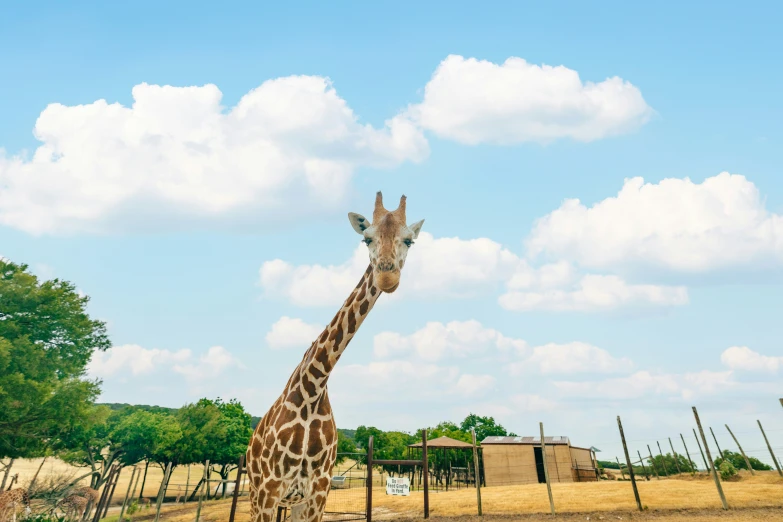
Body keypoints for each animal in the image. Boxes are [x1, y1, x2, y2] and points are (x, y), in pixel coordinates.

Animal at [248, 192, 426, 520]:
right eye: (366, 239)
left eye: (409, 240)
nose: (387, 277)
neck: (314, 387)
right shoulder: (269, 489)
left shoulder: (317, 493)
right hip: (255, 494)